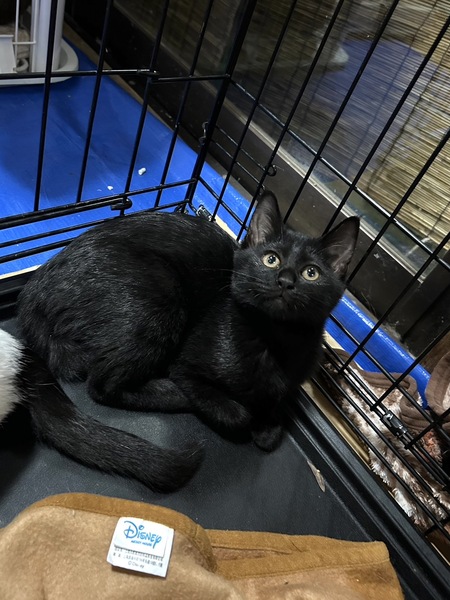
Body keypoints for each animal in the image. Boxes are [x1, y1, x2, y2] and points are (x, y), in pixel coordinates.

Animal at [16, 192, 359, 491]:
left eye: (311, 273)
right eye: (270, 260)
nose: (285, 281)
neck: (274, 342)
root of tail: (34, 292)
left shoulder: (289, 382)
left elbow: (275, 411)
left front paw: (266, 425)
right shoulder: (188, 366)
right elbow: (236, 413)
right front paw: (244, 414)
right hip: (160, 298)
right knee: (103, 385)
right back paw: (174, 394)